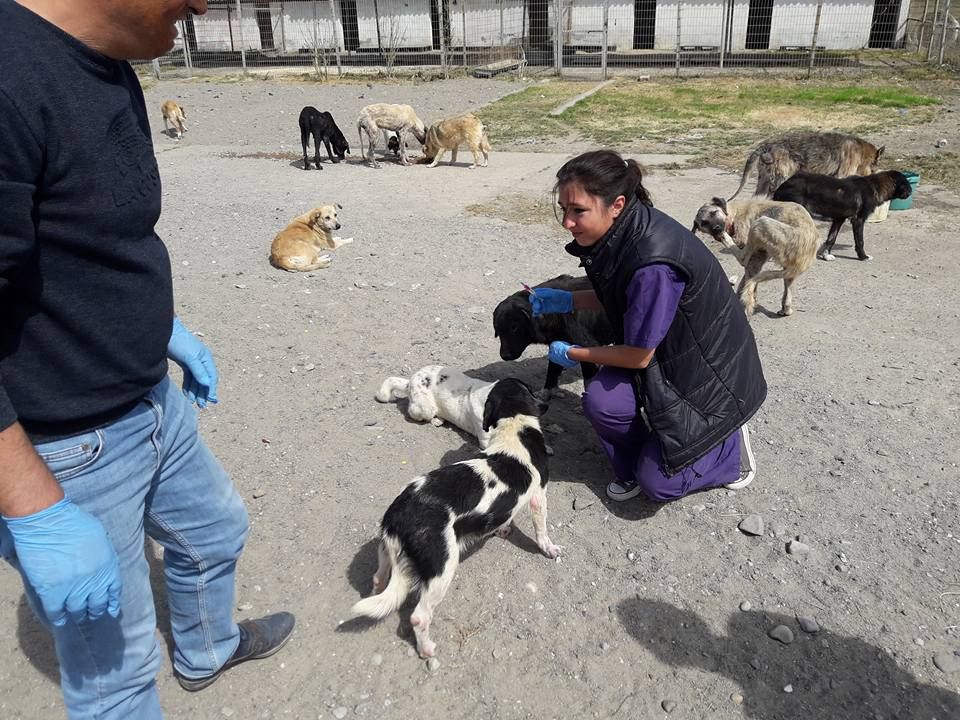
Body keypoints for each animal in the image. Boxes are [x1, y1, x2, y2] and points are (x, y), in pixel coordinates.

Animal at [352, 380, 564, 660]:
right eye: (530, 390)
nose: (546, 404)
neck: (513, 428)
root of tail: (400, 513)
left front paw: (503, 529)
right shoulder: (539, 496)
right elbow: (542, 531)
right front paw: (549, 549)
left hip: (387, 553)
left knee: (379, 581)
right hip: (442, 568)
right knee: (419, 617)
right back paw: (427, 649)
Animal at [768, 170, 912, 260]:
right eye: (905, 183)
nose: (911, 191)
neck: (875, 186)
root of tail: (781, 186)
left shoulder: (838, 219)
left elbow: (831, 239)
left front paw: (826, 255)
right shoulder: (858, 220)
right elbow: (860, 241)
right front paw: (863, 257)